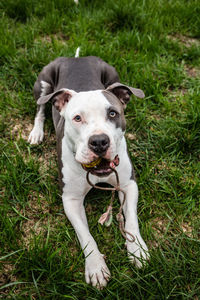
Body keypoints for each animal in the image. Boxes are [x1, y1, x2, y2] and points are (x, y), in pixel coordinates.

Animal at [28, 52, 149, 288]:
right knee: (40, 109)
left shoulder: (128, 184)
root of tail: (77, 58)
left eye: (113, 113)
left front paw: (137, 249)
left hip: (113, 75)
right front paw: (95, 267)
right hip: (43, 85)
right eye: (77, 118)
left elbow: (131, 219)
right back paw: (36, 133)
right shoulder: (71, 199)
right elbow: (85, 235)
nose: (99, 141)